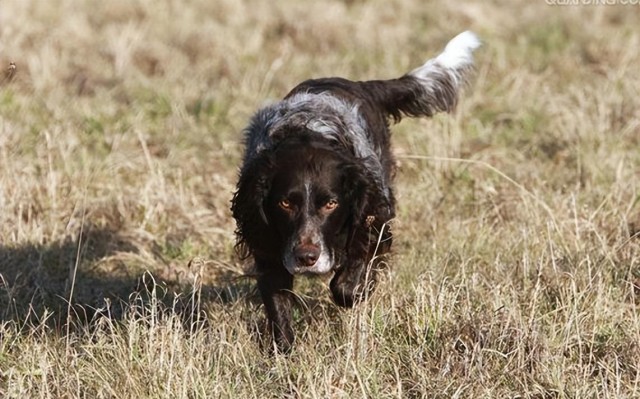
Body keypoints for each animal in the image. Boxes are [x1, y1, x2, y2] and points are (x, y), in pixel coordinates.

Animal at [231, 30, 480, 354]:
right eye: (285, 203)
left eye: (331, 203)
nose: (306, 257)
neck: (305, 132)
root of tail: (361, 84)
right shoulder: (269, 245)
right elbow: (278, 306)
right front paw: (283, 354)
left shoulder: (373, 215)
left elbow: (348, 283)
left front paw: (358, 289)